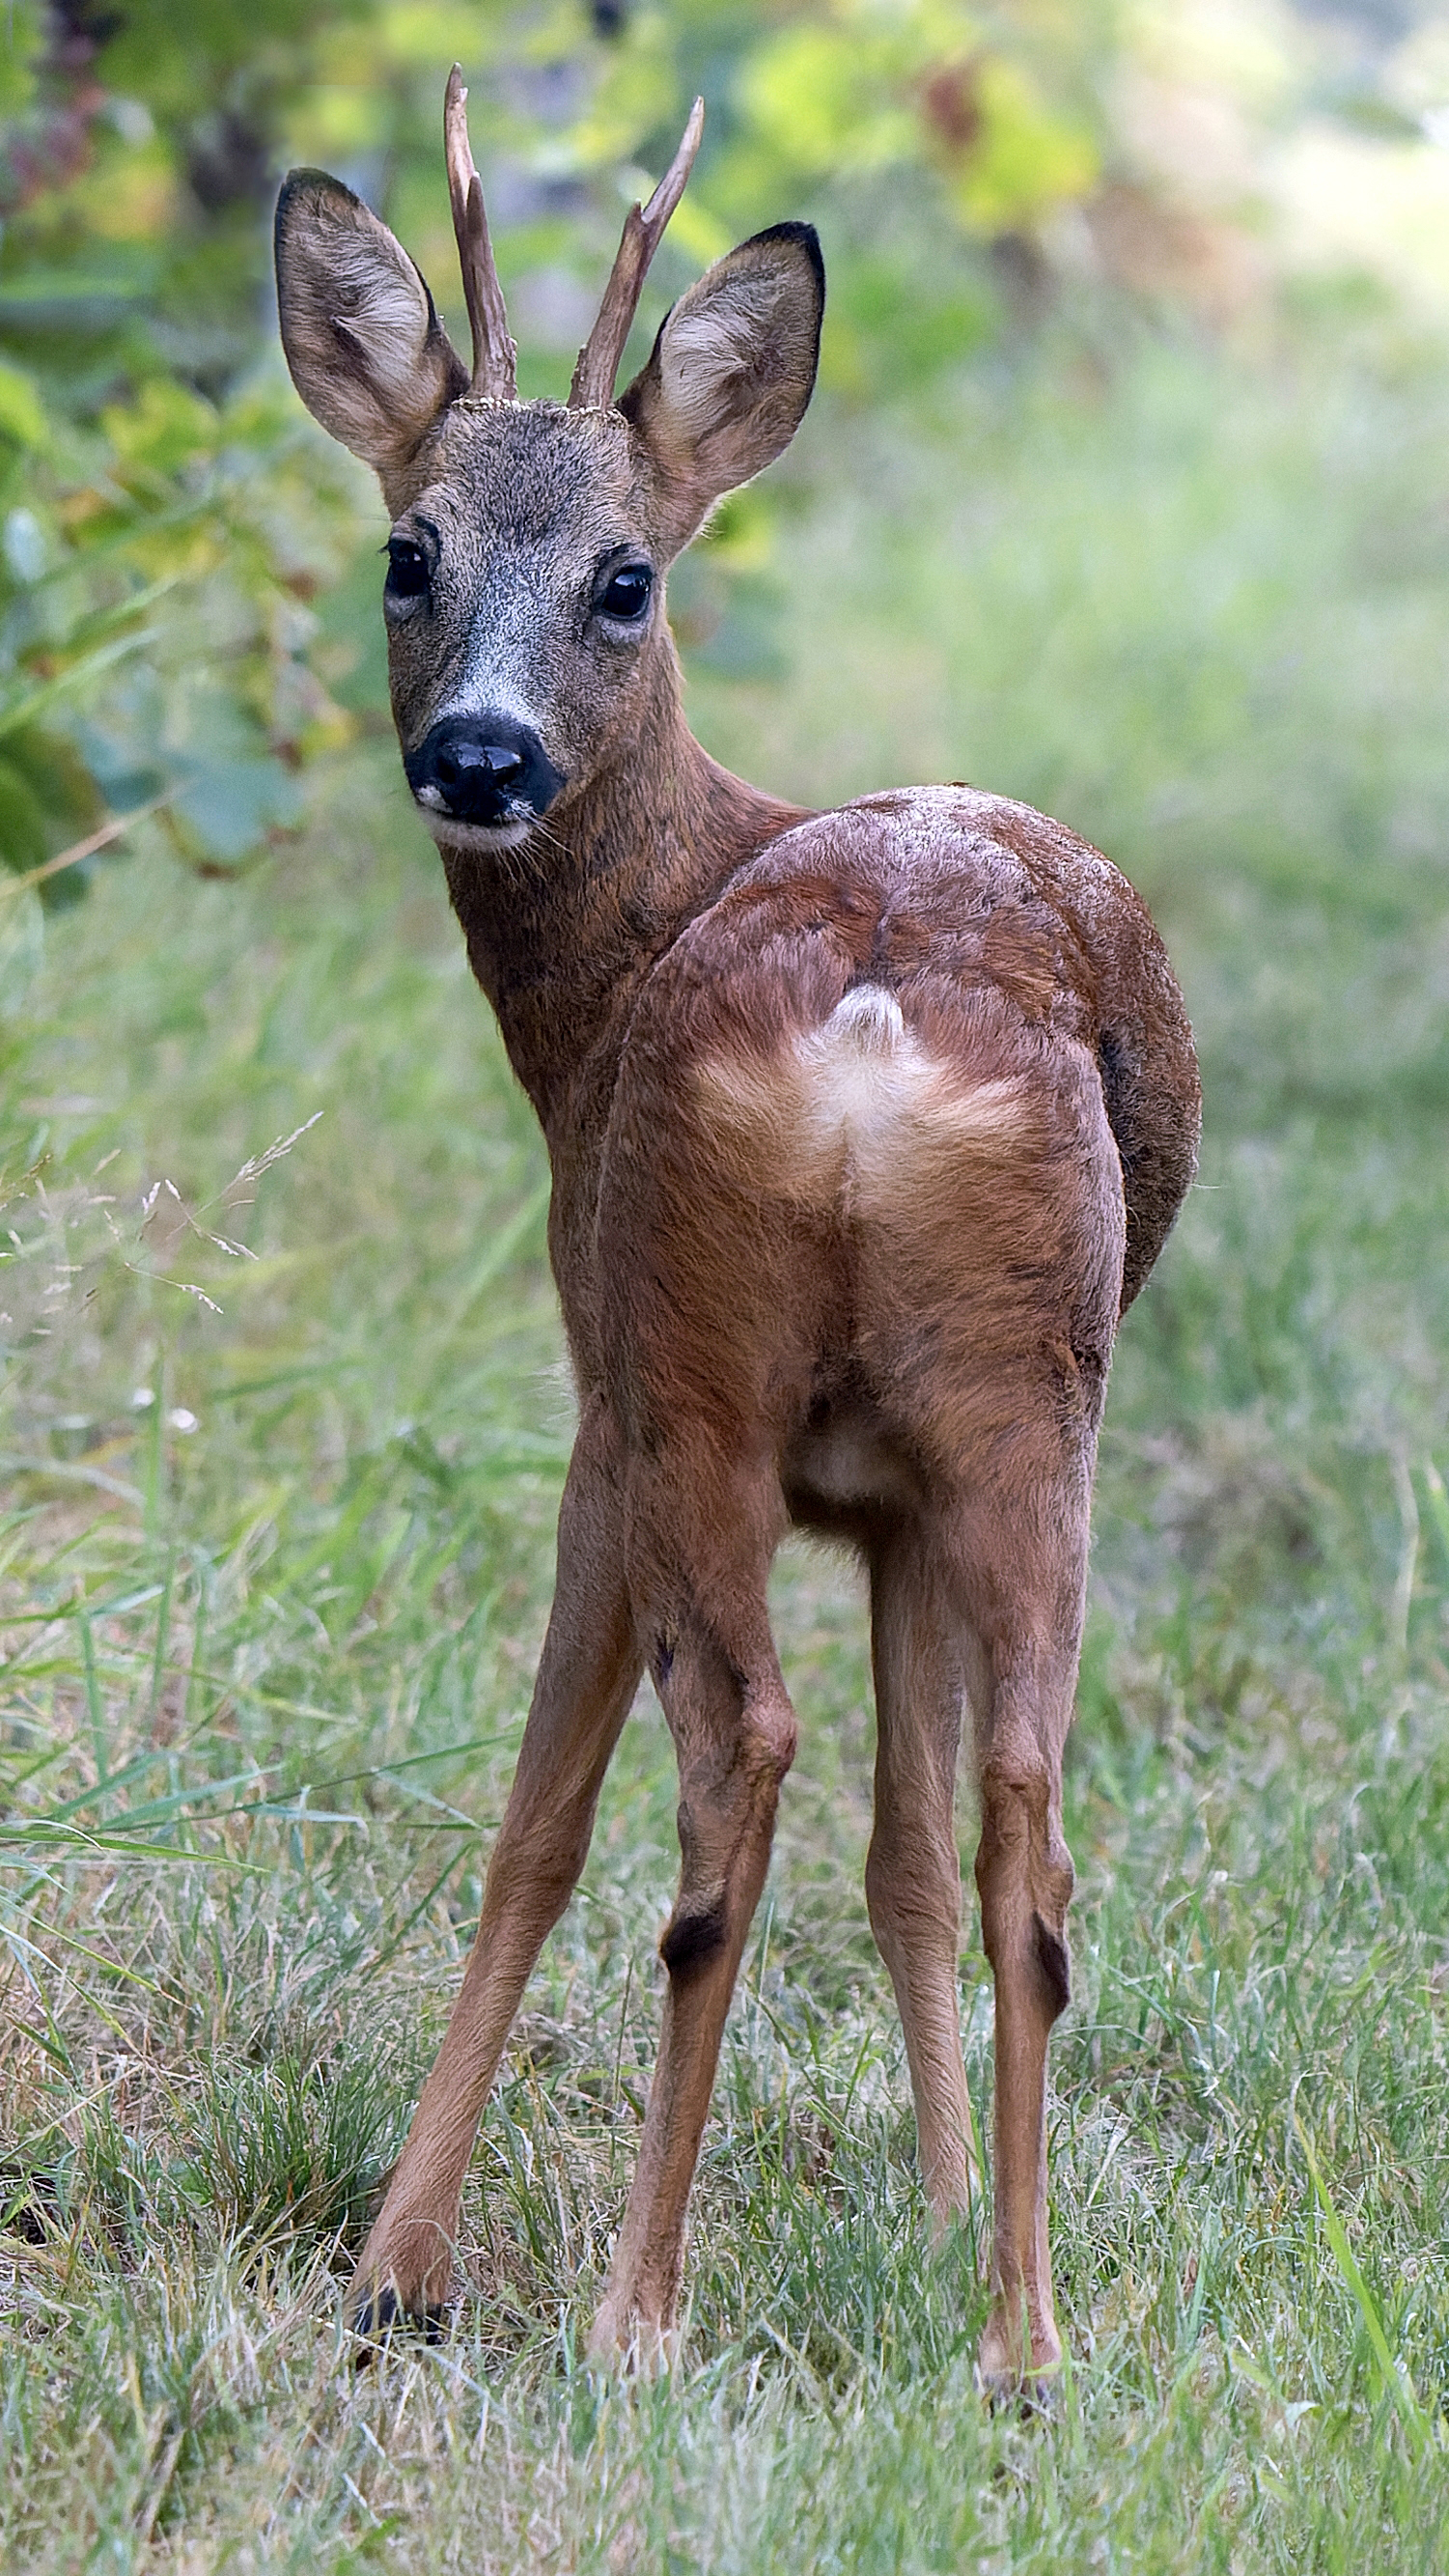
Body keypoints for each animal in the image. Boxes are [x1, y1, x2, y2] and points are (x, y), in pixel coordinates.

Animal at [275, 65, 1204, 2390]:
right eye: (408, 550)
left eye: (626, 577)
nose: (479, 754)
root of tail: (866, 1015)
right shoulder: (876, 1491)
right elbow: (911, 1845)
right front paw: (944, 2203)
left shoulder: (601, 1396)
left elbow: (534, 1824)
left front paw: (397, 2260)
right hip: (1021, 1402)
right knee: (1026, 1818)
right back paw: (1022, 2339)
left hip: (686, 1366)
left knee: (734, 1767)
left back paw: (633, 2305)